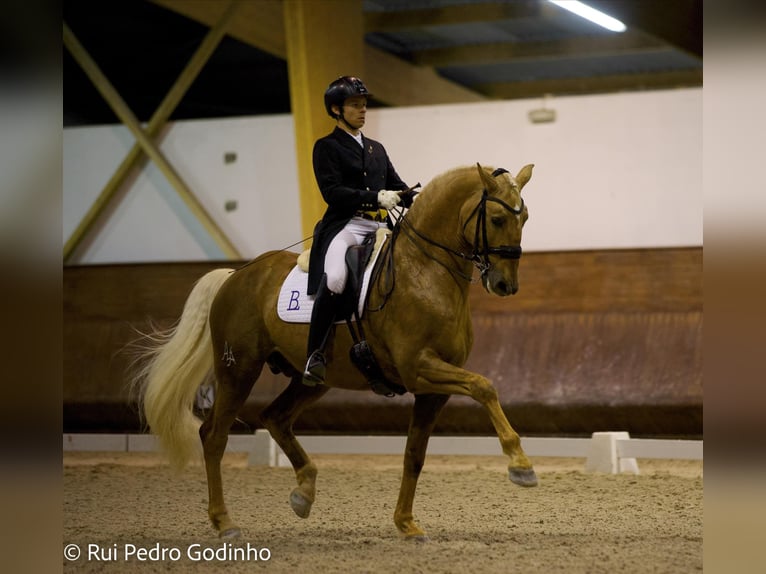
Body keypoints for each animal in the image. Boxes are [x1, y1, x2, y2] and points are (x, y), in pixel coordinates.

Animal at [132, 163, 536, 544]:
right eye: (497, 219)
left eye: (526, 217)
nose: (506, 285)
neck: (426, 272)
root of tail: (237, 276)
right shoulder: (419, 368)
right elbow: (485, 386)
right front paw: (520, 465)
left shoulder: (431, 389)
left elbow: (414, 455)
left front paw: (406, 524)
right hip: (239, 369)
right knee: (214, 436)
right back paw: (225, 523)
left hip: (310, 379)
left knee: (275, 417)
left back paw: (304, 492)